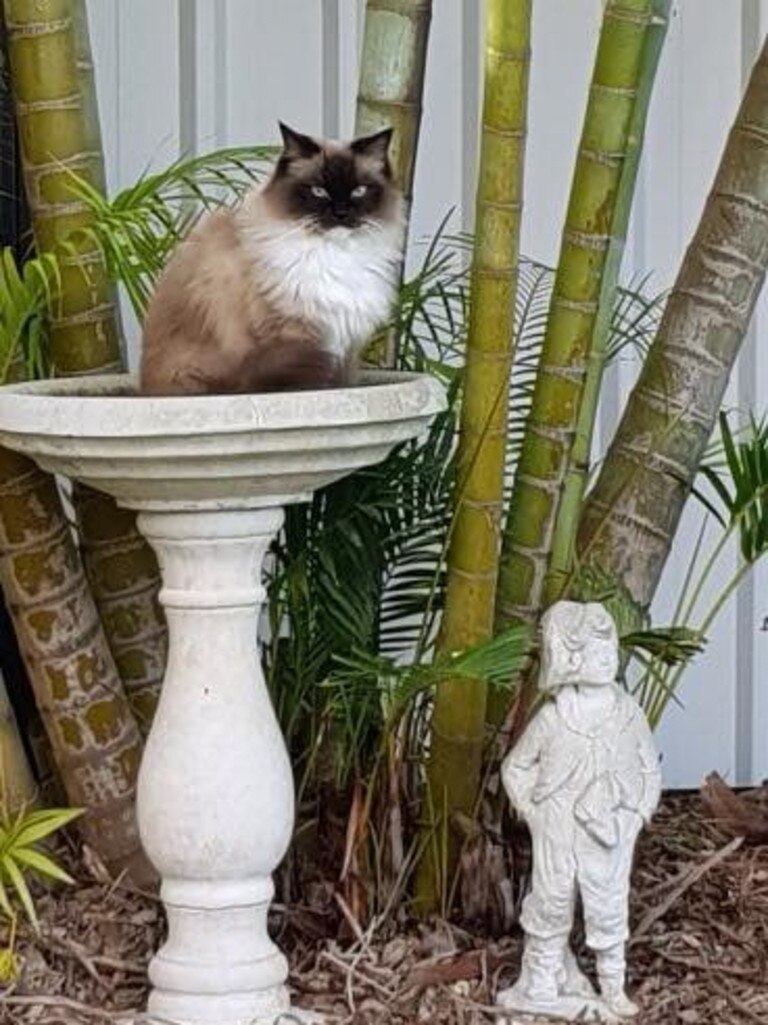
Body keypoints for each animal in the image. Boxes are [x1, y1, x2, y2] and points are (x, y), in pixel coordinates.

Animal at [138, 119, 403, 391]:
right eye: (318, 191)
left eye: (359, 191)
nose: (340, 212)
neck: (335, 254)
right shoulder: (296, 333)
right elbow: (309, 382)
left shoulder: (346, 349)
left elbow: (340, 386)